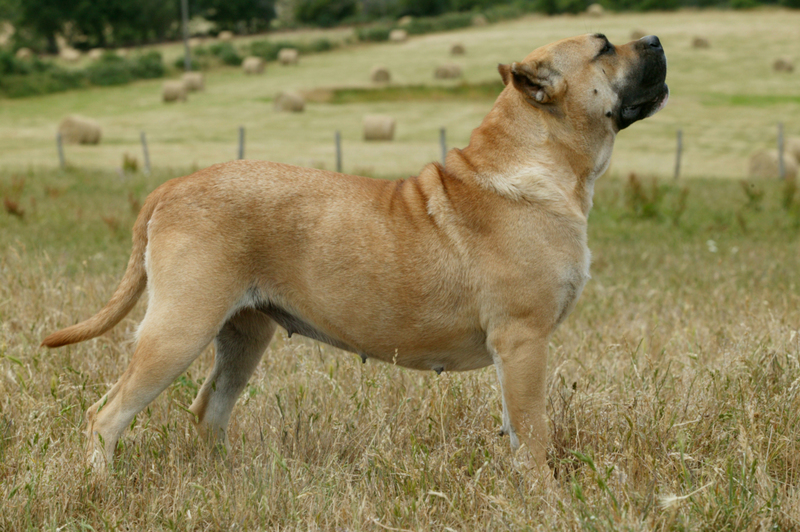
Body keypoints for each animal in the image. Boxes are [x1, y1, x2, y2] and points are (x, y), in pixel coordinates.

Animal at [43, 34, 668, 474]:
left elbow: (519, 431)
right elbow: (533, 435)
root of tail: (170, 186)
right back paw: (101, 485)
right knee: (106, 417)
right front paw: (541, 496)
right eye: (604, 48)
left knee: (209, 411)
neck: (537, 160)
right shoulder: (523, 342)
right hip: (179, 328)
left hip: (243, 336)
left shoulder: (517, 351)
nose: (657, 39)